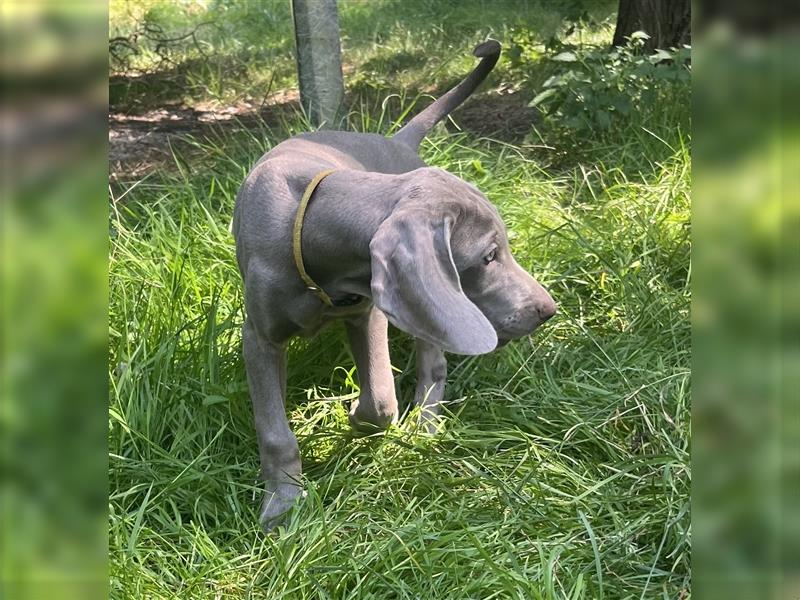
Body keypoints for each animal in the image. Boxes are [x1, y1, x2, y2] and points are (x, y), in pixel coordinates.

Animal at [231, 41, 556, 524]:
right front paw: (283, 506)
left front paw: (354, 417)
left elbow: (382, 398)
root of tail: (397, 141)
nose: (547, 309)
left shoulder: (367, 313)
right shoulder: (258, 336)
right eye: (488, 257)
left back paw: (426, 425)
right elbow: (274, 430)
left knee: (433, 365)